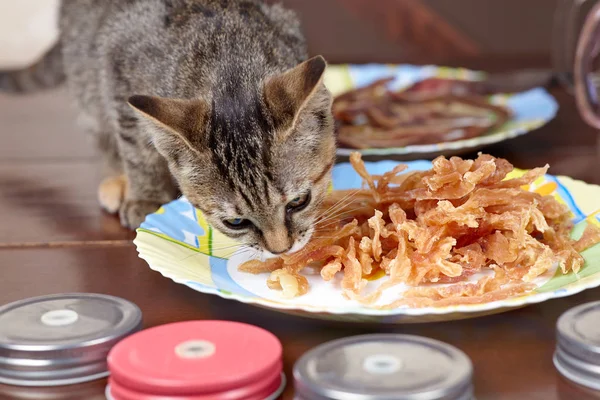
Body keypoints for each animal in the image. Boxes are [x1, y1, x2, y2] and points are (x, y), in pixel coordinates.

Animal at [0, 0, 336, 256]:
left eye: (298, 202)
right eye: (236, 223)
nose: (281, 250)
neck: (230, 64)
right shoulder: (117, 71)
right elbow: (137, 150)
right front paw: (145, 197)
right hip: (85, 70)